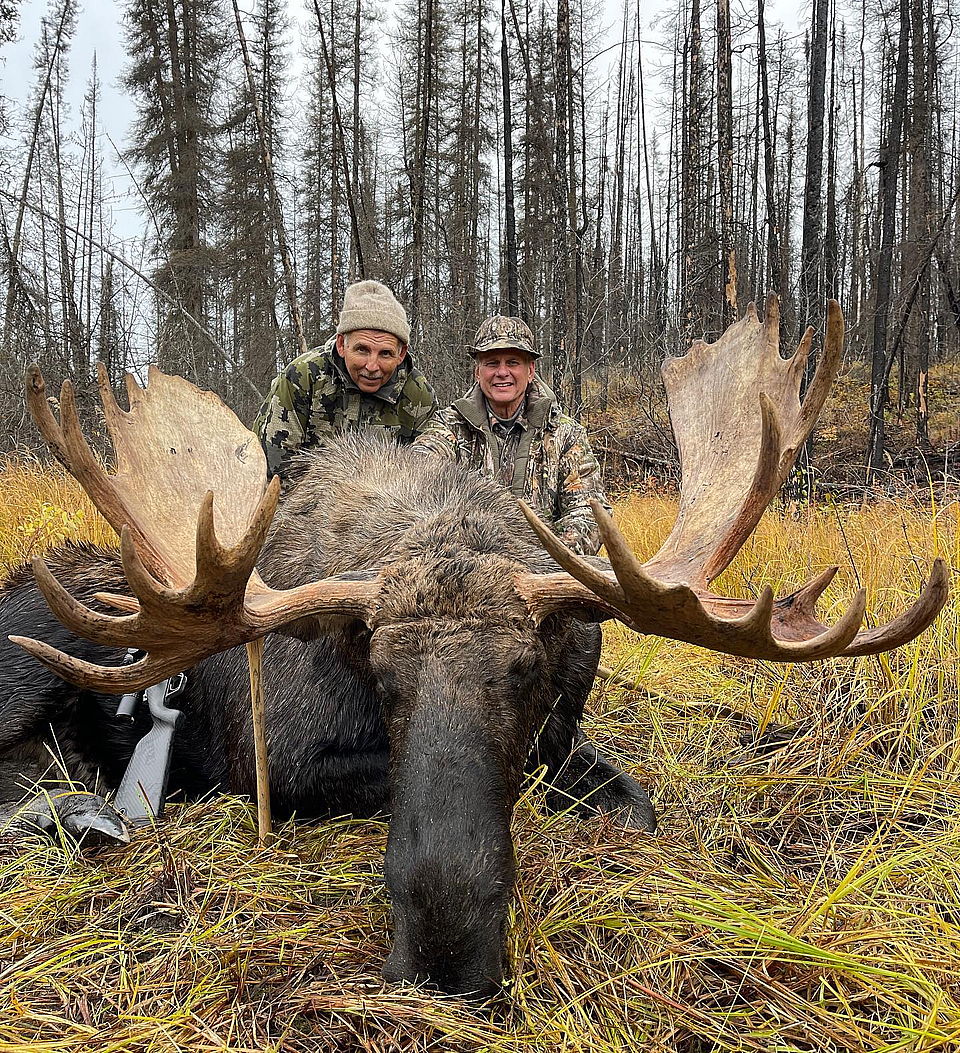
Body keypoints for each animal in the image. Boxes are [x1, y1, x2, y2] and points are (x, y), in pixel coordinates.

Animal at [0, 295, 948, 997]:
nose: (445, 955)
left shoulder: (563, 733)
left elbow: (624, 803)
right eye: (379, 672)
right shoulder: (275, 762)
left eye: (526, 669)